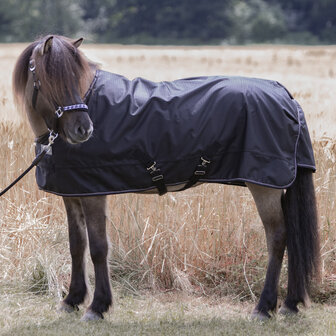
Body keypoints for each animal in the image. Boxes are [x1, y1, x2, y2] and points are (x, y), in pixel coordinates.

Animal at [11, 35, 320, 322]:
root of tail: (286, 96)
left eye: (76, 76)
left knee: (278, 237)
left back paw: (264, 307)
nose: (83, 129)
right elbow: (77, 246)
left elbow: (98, 248)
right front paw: (72, 299)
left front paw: (97, 306)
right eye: (50, 78)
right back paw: (290, 304)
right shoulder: (73, 194)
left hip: (264, 187)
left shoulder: (94, 195)